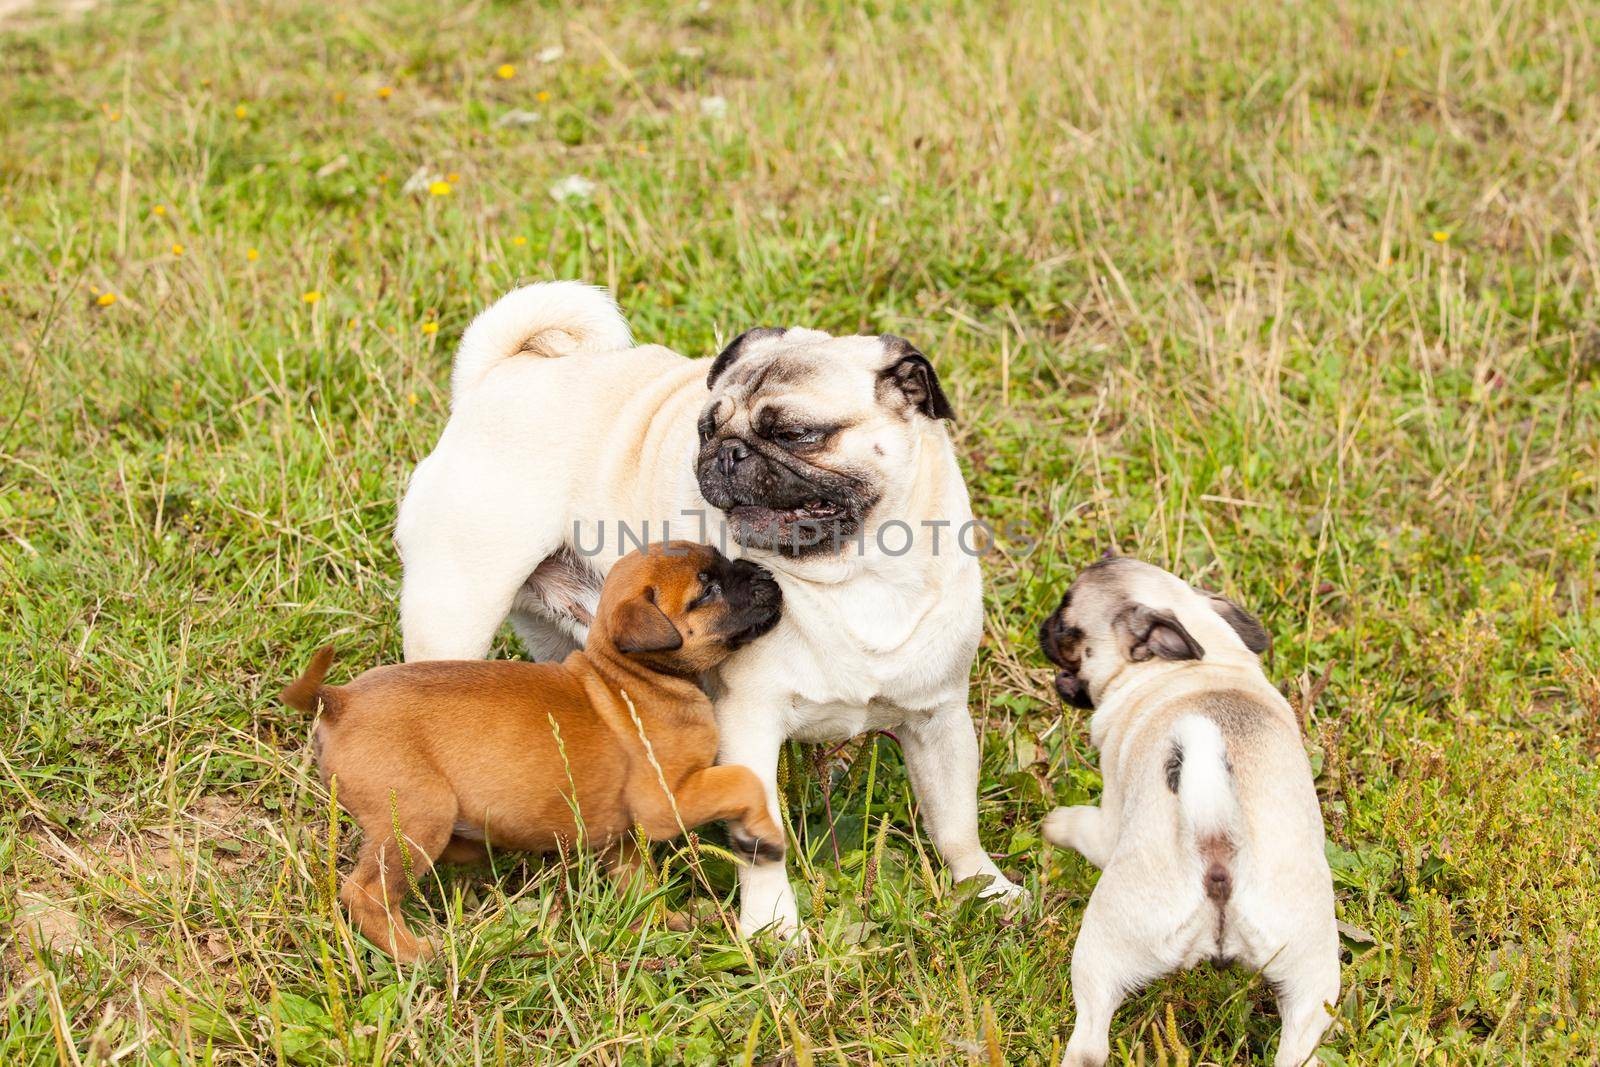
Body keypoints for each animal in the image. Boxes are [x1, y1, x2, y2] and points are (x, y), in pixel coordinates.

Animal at [291, 543, 790, 959]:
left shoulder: (625, 841)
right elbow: (744, 779)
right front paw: (763, 837)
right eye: (708, 589)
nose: (764, 573)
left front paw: (667, 922)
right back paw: (417, 953)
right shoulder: (667, 803)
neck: (635, 676)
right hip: (417, 818)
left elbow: (640, 888)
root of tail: (339, 699)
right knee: (365, 895)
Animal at [1036, 559, 1337, 1067]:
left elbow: (1083, 826)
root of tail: (1217, 843)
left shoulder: (1109, 821)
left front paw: (1055, 824)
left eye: (1065, 625)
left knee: (1090, 1038)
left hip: (1102, 945)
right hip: (1312, 986)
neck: (1204, 666)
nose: (1043, 629)